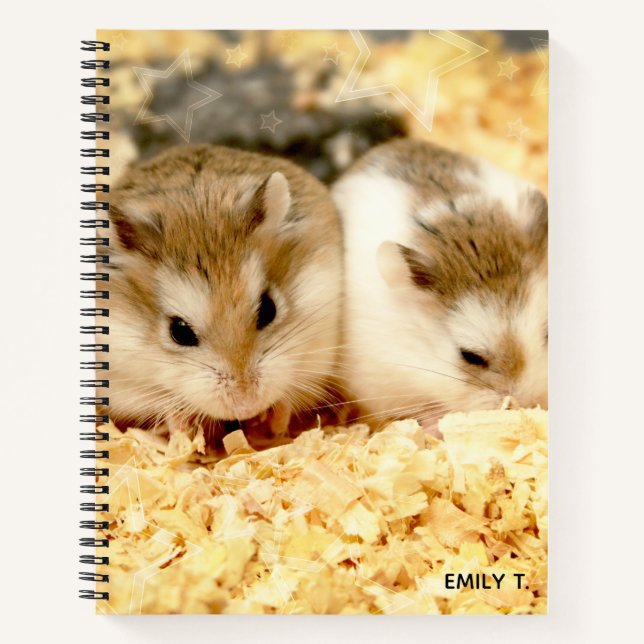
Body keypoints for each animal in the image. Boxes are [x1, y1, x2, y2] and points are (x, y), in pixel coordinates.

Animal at [100, 145, 343, 432]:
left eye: (268, 310)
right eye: (179, 332)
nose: (247, 406)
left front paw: (274, 421)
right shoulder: (124, 385)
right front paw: (184, 427)